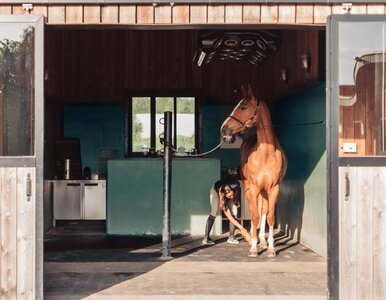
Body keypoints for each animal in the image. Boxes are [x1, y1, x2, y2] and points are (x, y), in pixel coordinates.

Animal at [220, 86, 286, 258]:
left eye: (243, 107)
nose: (224, 129)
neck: (266, 154)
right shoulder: (254, 187)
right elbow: (254, 215)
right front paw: (254, 247)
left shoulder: (273, 188)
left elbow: (269, 216)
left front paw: (270, 247)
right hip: (250, 188)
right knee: (253, 210)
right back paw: (253, 237)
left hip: (263, 191)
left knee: (263, 209)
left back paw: (262, 239)